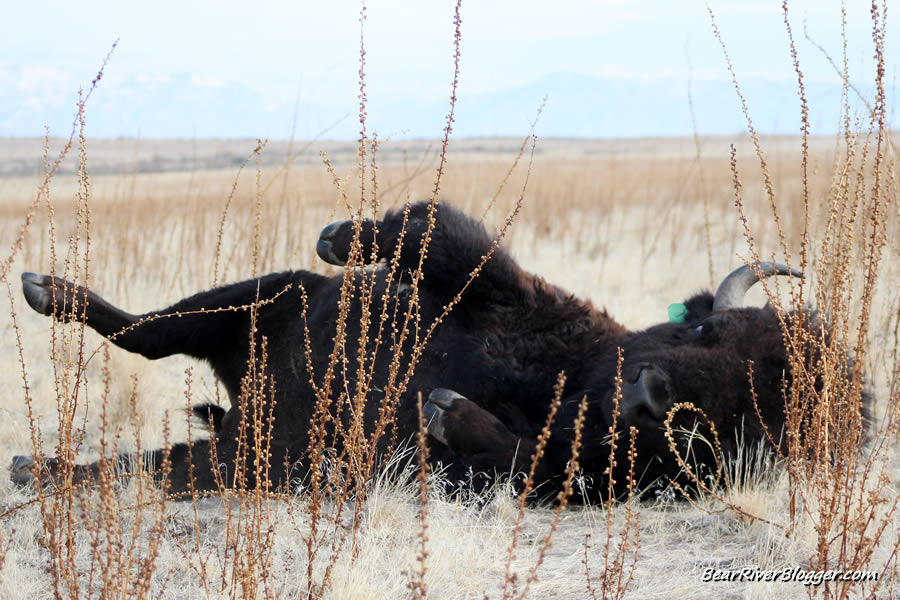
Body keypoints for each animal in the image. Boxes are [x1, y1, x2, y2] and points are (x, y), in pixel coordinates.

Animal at [7, 203, 864, 502]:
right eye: (705, 332)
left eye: (724, 417)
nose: (643, 389)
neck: (559, 379)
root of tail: (246, 407)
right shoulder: (514, 298)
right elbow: (457, 246)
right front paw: (339, 236)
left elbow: (522, 461)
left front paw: (446, 411)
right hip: (263, 300)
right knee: (147, 333)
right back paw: (46, 289)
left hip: (244, 458)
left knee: (143, 462)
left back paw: (33, 467)